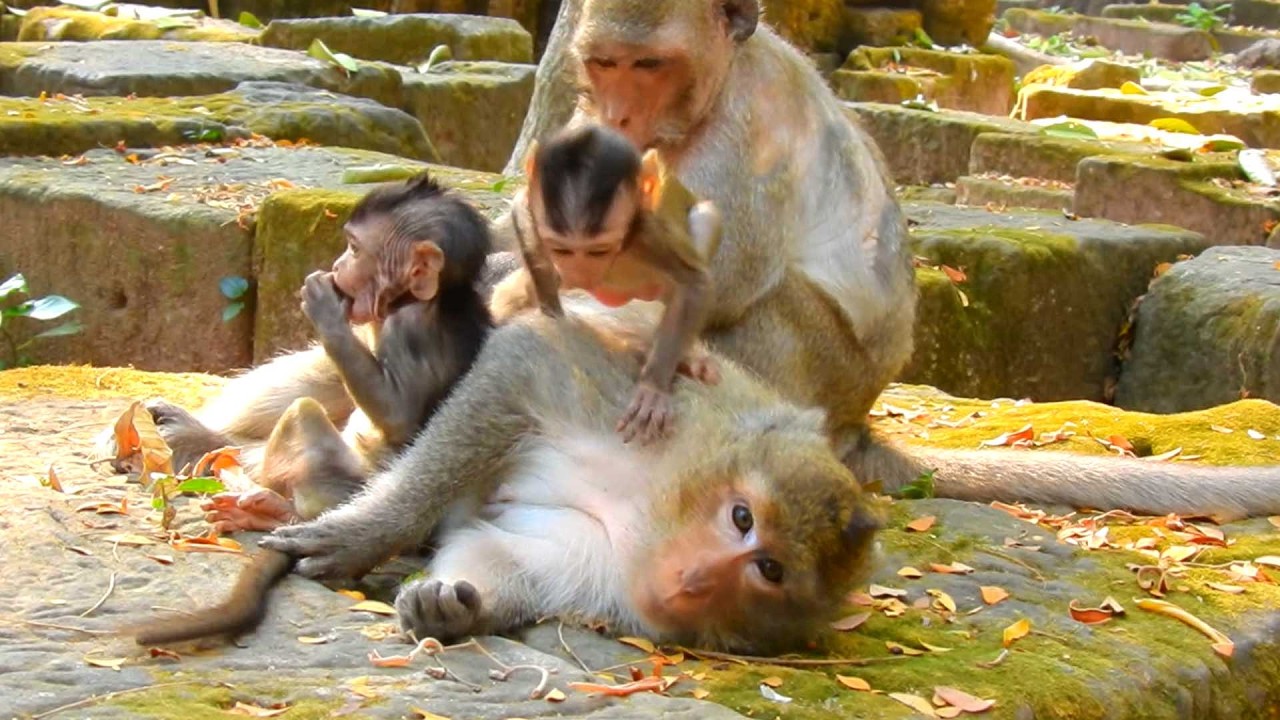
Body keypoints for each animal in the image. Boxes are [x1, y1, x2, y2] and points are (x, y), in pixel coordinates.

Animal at [491, 123, 723, 444]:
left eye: (598, 251)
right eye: (561, 249)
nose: (578, 272)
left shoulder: (647, 235)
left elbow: (694, 283)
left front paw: (653, 388)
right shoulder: (533, 212)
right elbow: (520, 213)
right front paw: (553, 317)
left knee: (704, 221)